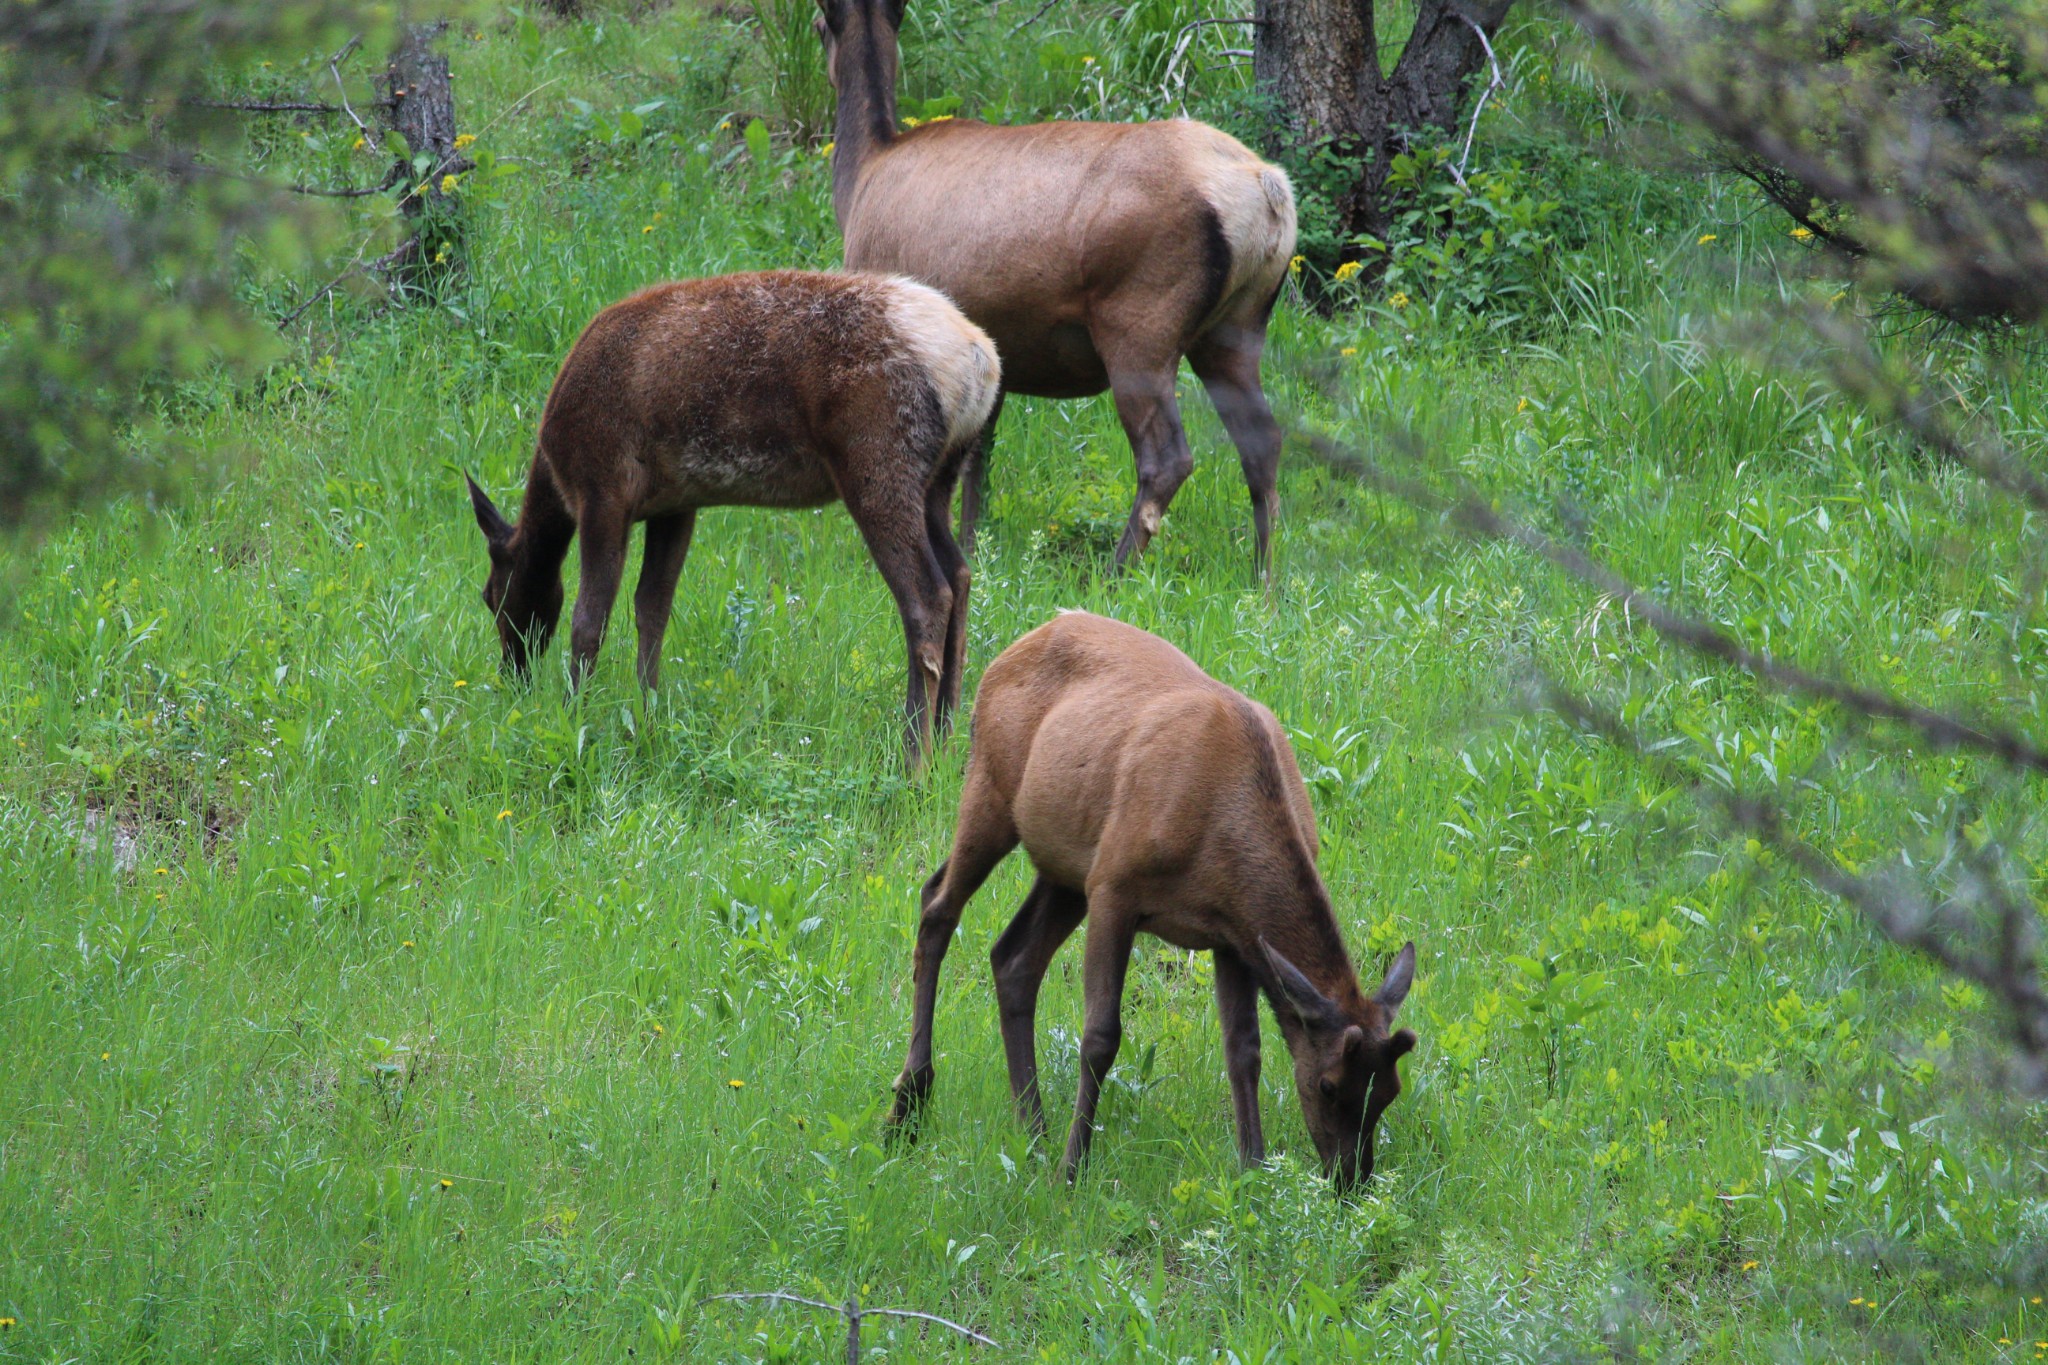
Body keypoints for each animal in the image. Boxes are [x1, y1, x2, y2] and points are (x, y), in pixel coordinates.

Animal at [466, 266, 1007, 769]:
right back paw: (948, 740)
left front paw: (573, 715)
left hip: (878, 459)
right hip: (939, 479)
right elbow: (652, 610)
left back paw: (914, 757)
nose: (511, 676)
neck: (557, 473)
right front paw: (646, 715)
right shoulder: (675, 503)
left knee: (927, 595)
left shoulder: (603, 489)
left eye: (492, 596)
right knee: (960, 575)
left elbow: (589, 619)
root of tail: (981, 361)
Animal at [815, 0, 1294, 577]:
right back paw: (1266, 580)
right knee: (1263, 441)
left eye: (816, 29)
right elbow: (980, 455)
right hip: (1238, 325)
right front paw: (976, 546)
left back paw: (1113, 577)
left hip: (1140, 319)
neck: (861, 179)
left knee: (1166, 457)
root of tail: (1268, 189)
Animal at [888, 613, 1417, 1186]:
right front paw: (1074, 1170)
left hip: (1065, 866)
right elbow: (1100, 1037)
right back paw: (910, 1103)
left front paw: (1252, 1169)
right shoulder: (1115, 887)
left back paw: (1032, 1129)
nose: (1350, 1179)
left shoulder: (1231, 933)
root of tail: (1009, 652)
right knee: (937, 905)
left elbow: (1245, 1049)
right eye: (1328, 1085)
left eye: (1390, 1091)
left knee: (1012, 957)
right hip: (990, 787)